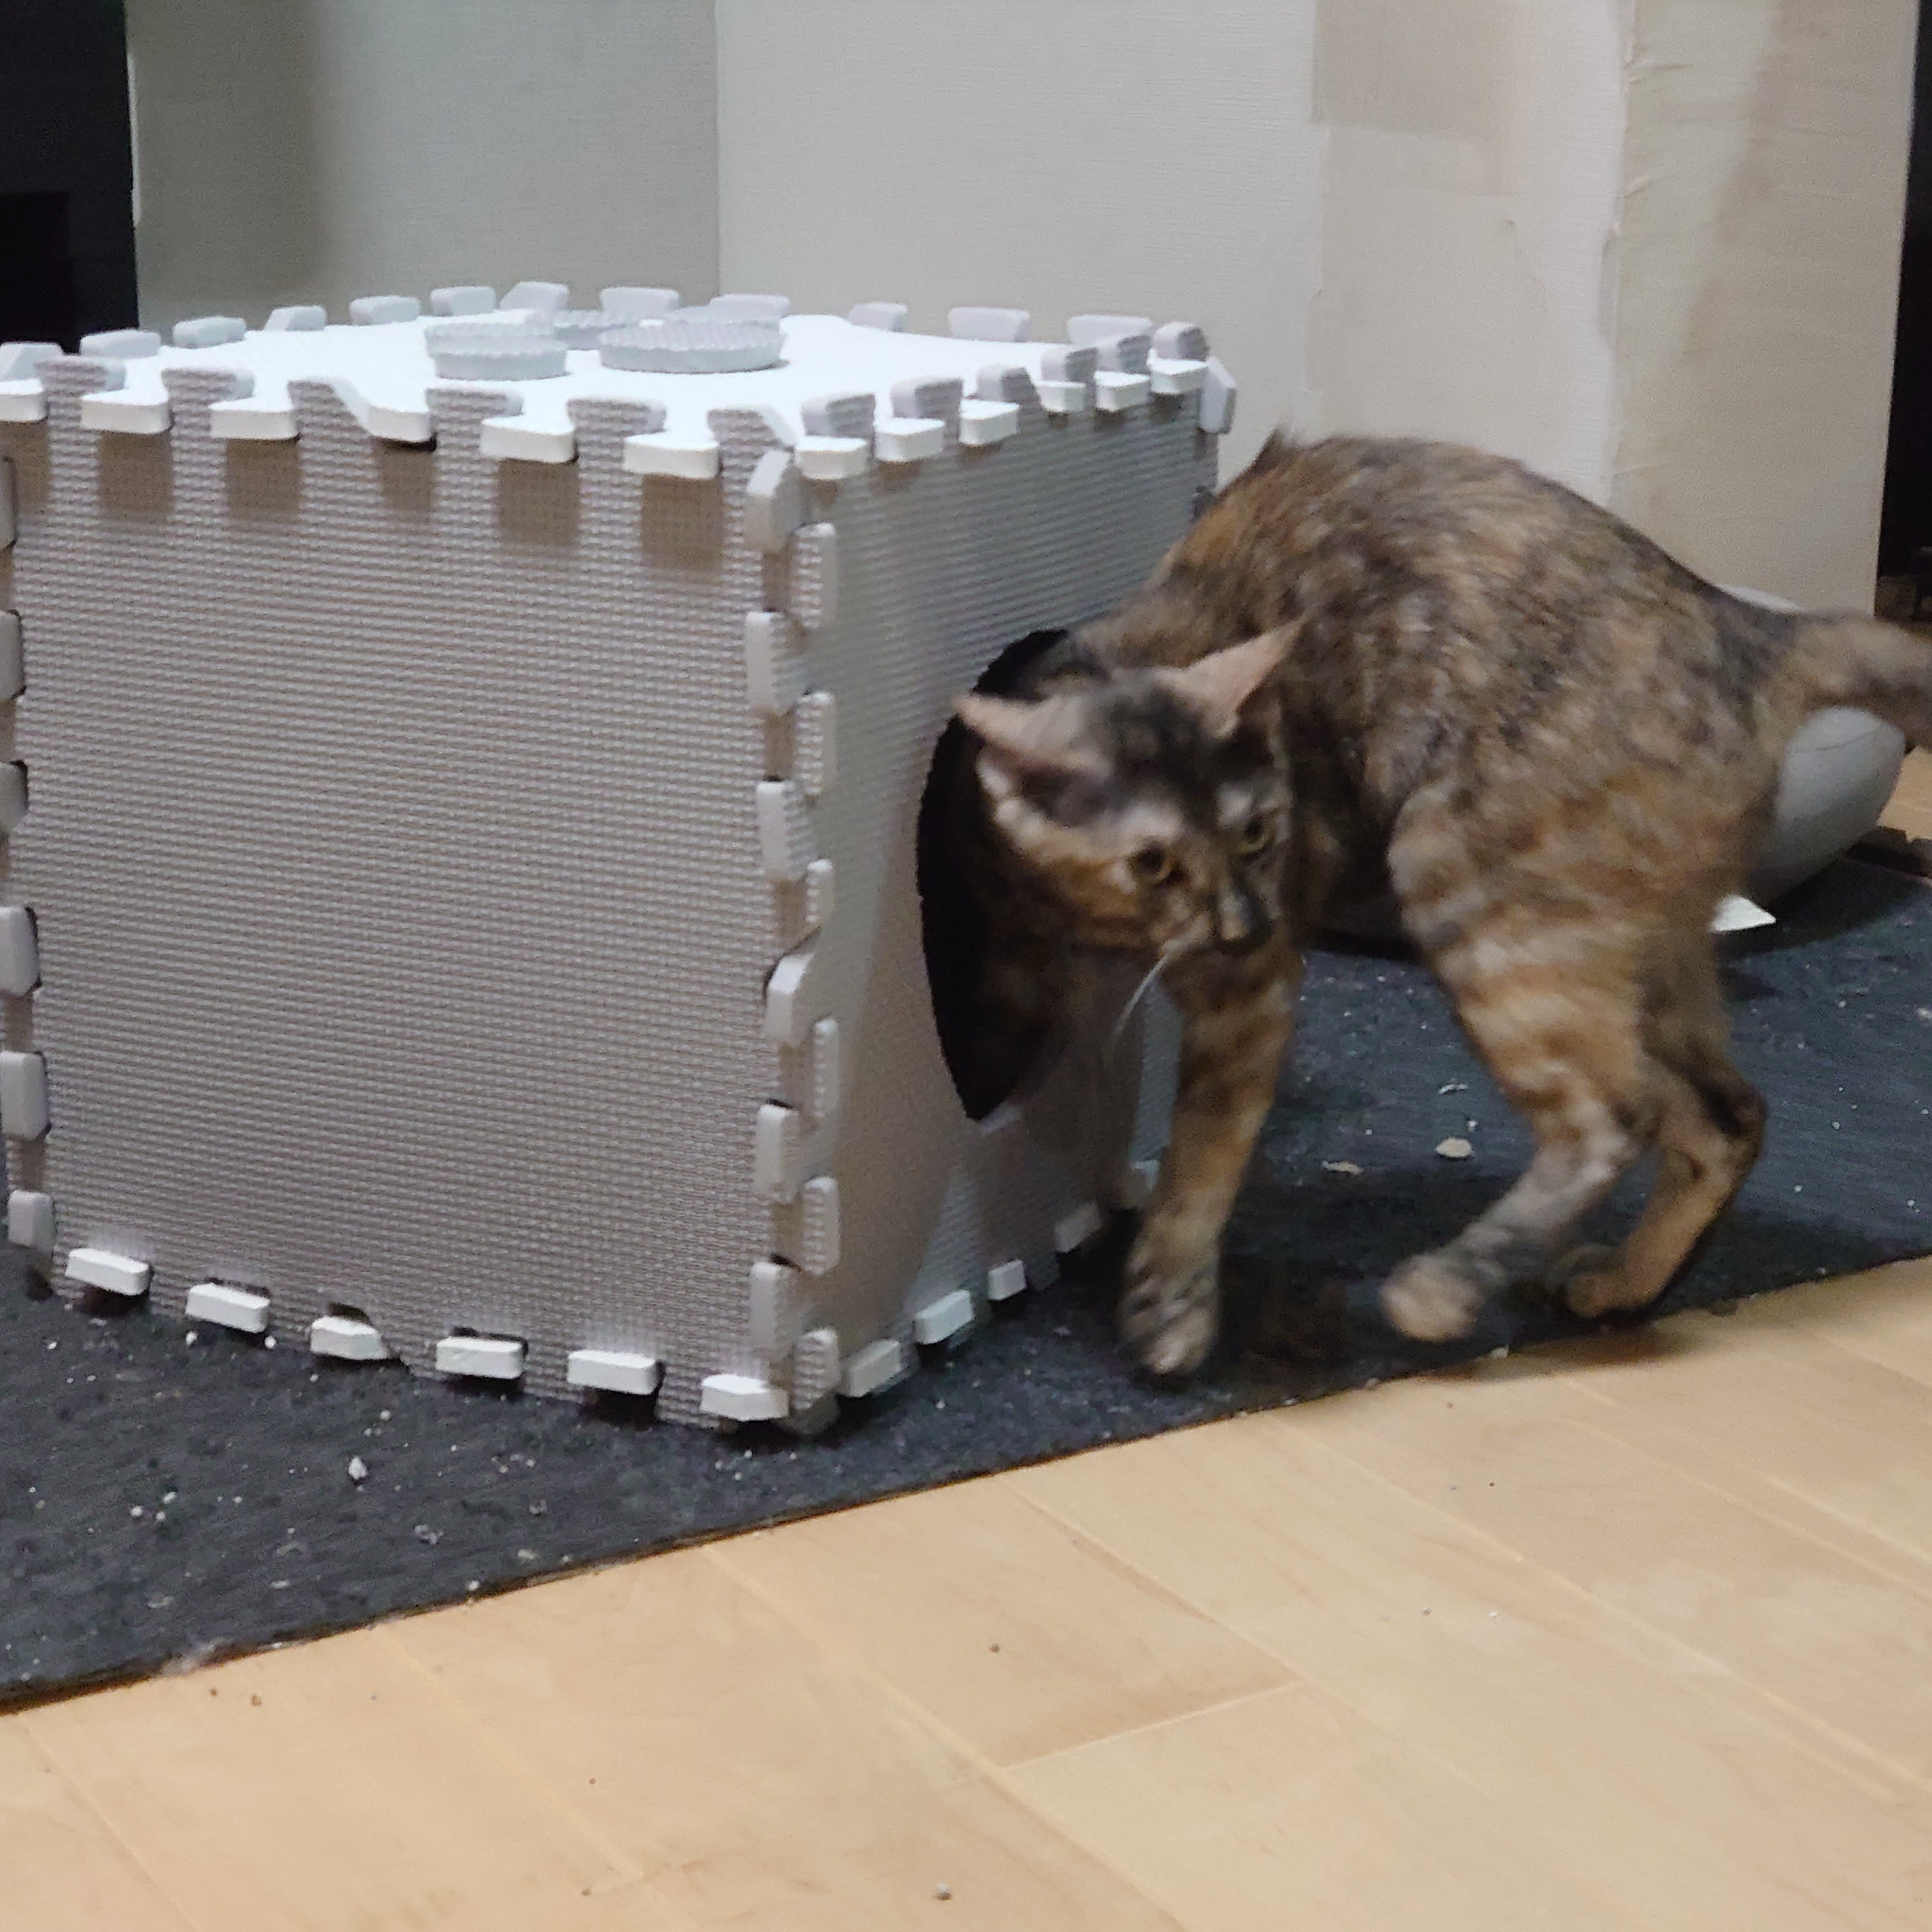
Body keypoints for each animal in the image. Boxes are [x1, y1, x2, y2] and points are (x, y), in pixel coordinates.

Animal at [952, 431, 1932, 1378]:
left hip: (1470, 890)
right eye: (1152, 864)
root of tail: (1751, 631)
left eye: (1259, 834)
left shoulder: (1248, 998)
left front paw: (1170, 1310)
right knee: (1726, 1115)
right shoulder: (1011, 940)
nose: (1246, 924)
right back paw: (1622, 1285)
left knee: (1611, 1118)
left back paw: (1444, 1290)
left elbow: (1200, 1155)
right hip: (1642, 956)